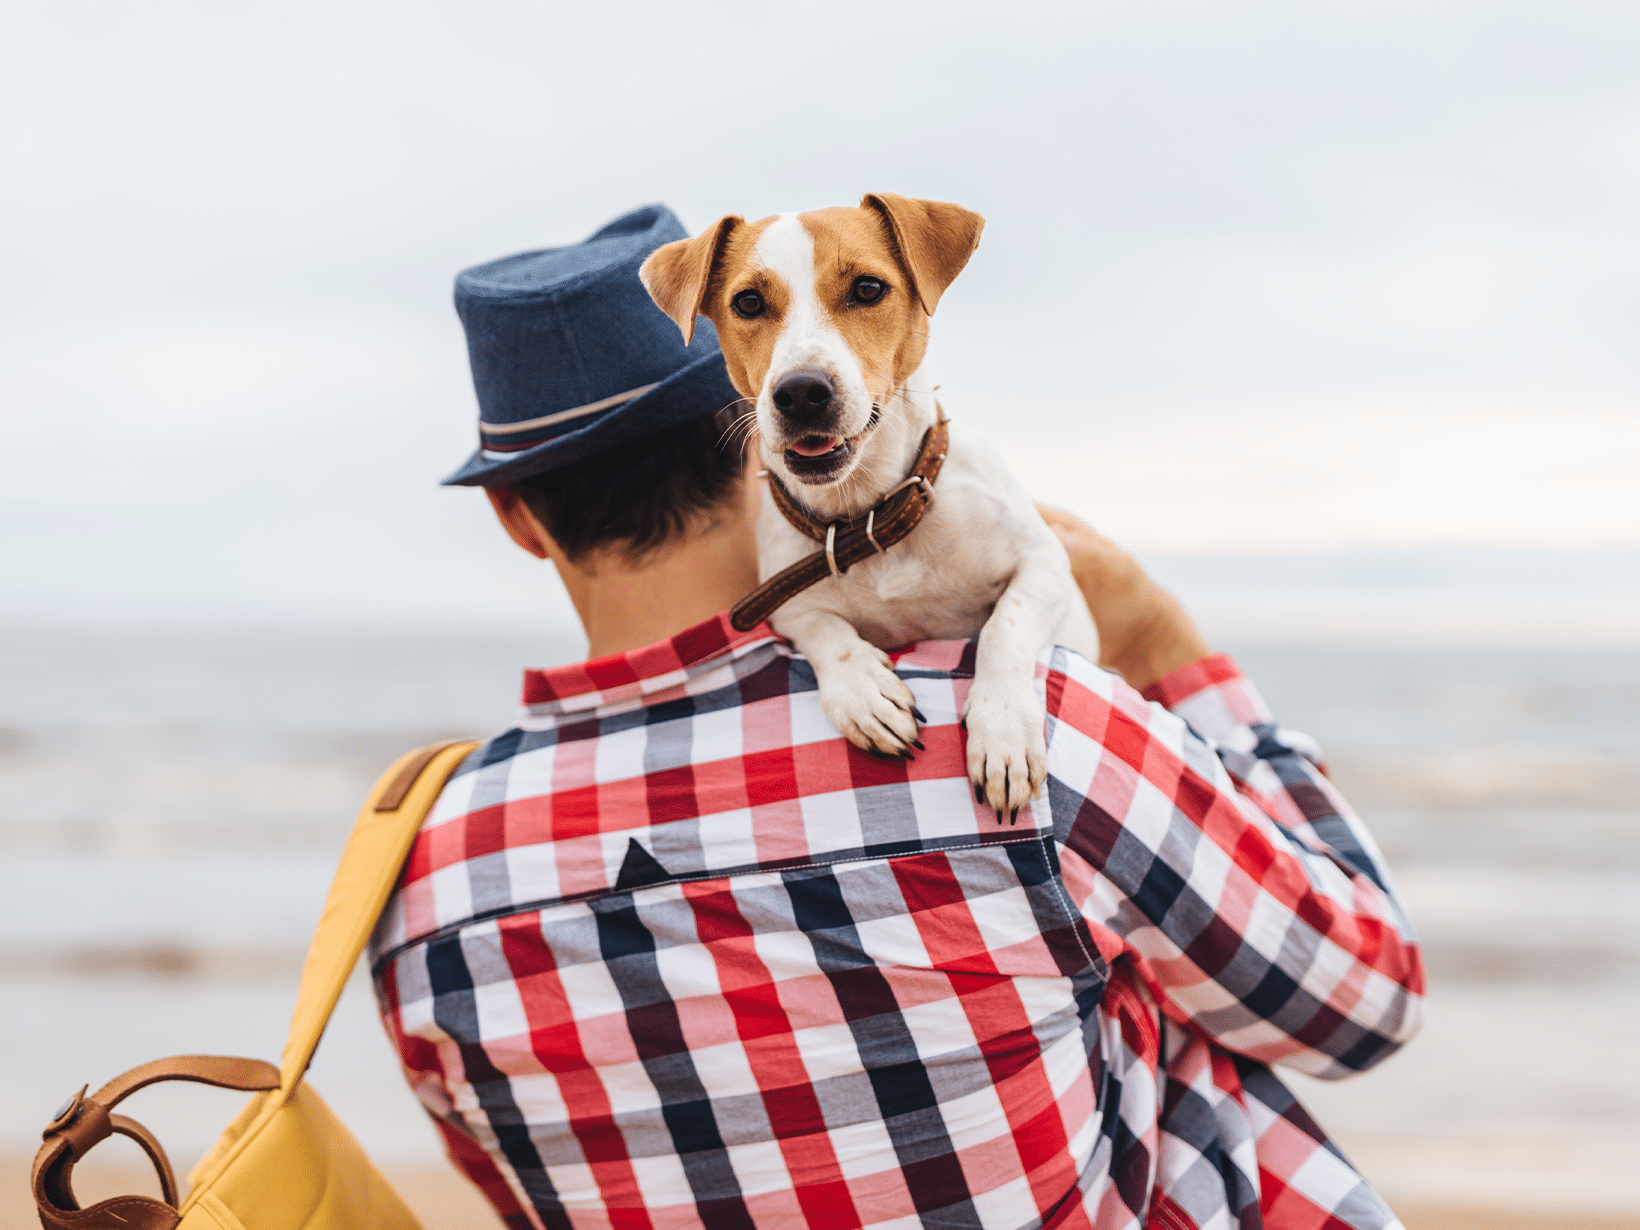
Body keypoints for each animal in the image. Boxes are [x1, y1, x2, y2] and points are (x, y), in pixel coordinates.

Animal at [636, 195, 1088, 820]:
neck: (869, 515)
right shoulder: (782, 601)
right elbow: (823, 629)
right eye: (748, 302)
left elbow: (1005, 626)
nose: (801, 392)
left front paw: (1002, 733)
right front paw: (864, 692)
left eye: (869, 289)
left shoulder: (1045, 564)